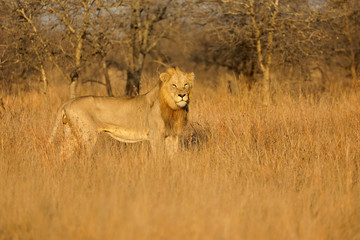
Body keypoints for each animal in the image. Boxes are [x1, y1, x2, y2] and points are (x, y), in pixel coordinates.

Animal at [49, 67, 195, 156]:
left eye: (186, 84)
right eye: (174, 85)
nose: (182, 95)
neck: (173, 108)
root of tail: (68, 101)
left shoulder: (173, 135)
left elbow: (173, 156)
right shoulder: (156, 135)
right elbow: (159, 157)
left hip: (70, 134)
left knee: (62, 154)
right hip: (86, 135)